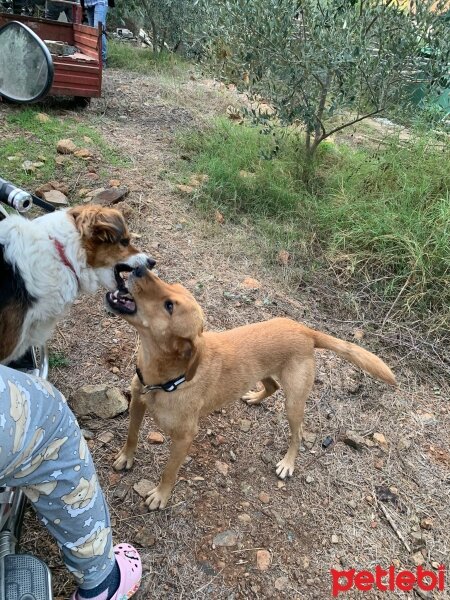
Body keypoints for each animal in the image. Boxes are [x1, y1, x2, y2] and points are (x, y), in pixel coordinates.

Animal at [108, 268, 394, 510]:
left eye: (169, 306)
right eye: (171, 285)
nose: (138, 268)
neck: (165, 378)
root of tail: (304, 330)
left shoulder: (184, 438)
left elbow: (169, 471)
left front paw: (161, 495)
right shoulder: (137, 401)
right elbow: (132, 434)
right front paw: (126, 457)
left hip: (294, 403)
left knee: (297, 434)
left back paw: (288, 463)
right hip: (263, 374)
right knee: (272, 386)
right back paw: (255, 398)